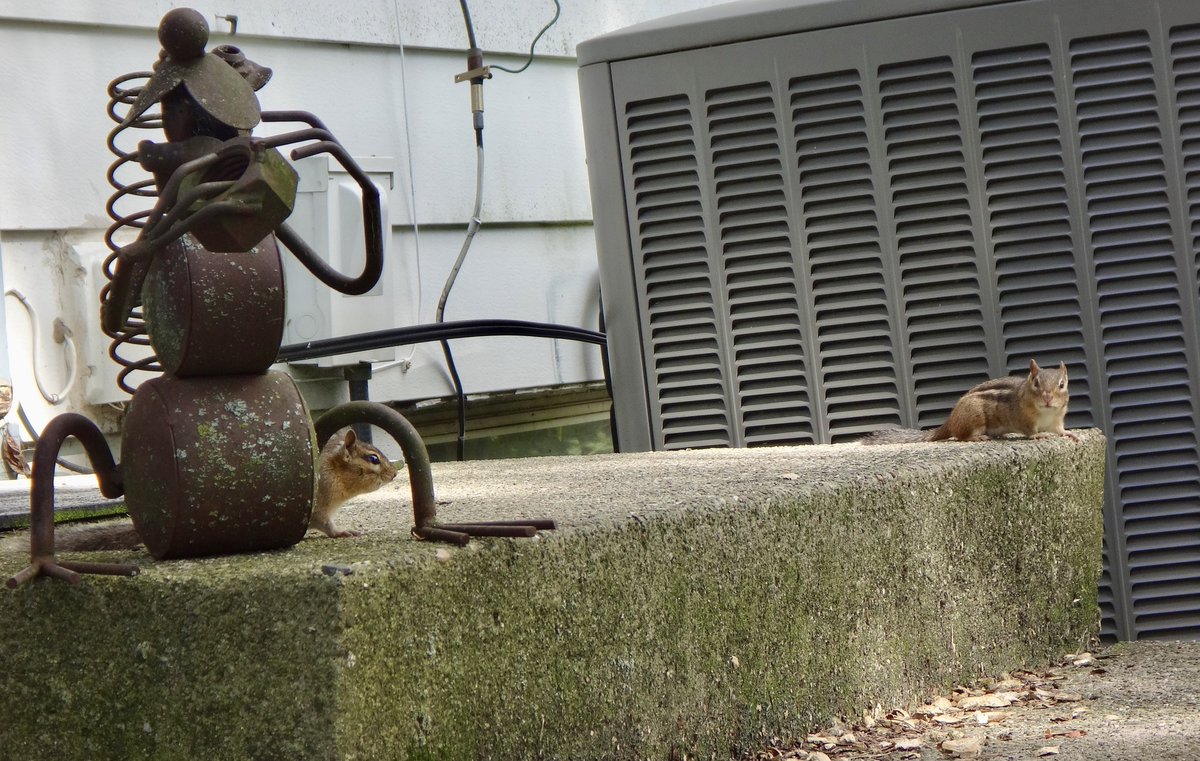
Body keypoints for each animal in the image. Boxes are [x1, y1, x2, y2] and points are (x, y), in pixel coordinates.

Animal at [47, 427, 397, 552]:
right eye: (373, 459)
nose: (394, 473)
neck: (333, 476)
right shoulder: (320, 509)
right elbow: (327, 525)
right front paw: (342, 533)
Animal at [860, 359, 1079, 444]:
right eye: (1036, 383)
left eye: (1061, 384)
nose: (1047, 397)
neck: (1047, 413)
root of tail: (950, 421)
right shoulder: (1023, 418)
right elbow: (1030, 430)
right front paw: (1038, 435)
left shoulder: (1057, 420)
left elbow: (1060, 430)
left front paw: (1070, 434)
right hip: (974, 419)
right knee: (961, 436)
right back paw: (978, 438)